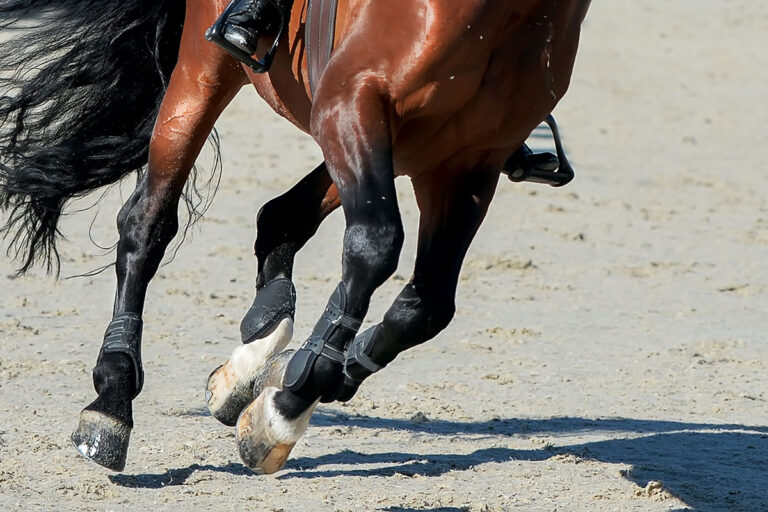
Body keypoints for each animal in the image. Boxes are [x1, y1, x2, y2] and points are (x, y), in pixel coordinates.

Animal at [0, 0, 592, 473]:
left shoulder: (468, 164)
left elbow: (426, 305)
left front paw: (327, 374)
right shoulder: (354, 102)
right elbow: (377, 246)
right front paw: (287, 406)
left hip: (395, 144)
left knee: (280, 217)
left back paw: (256, 350)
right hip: (211, 70)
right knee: (147, 223)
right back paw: (112, 401)